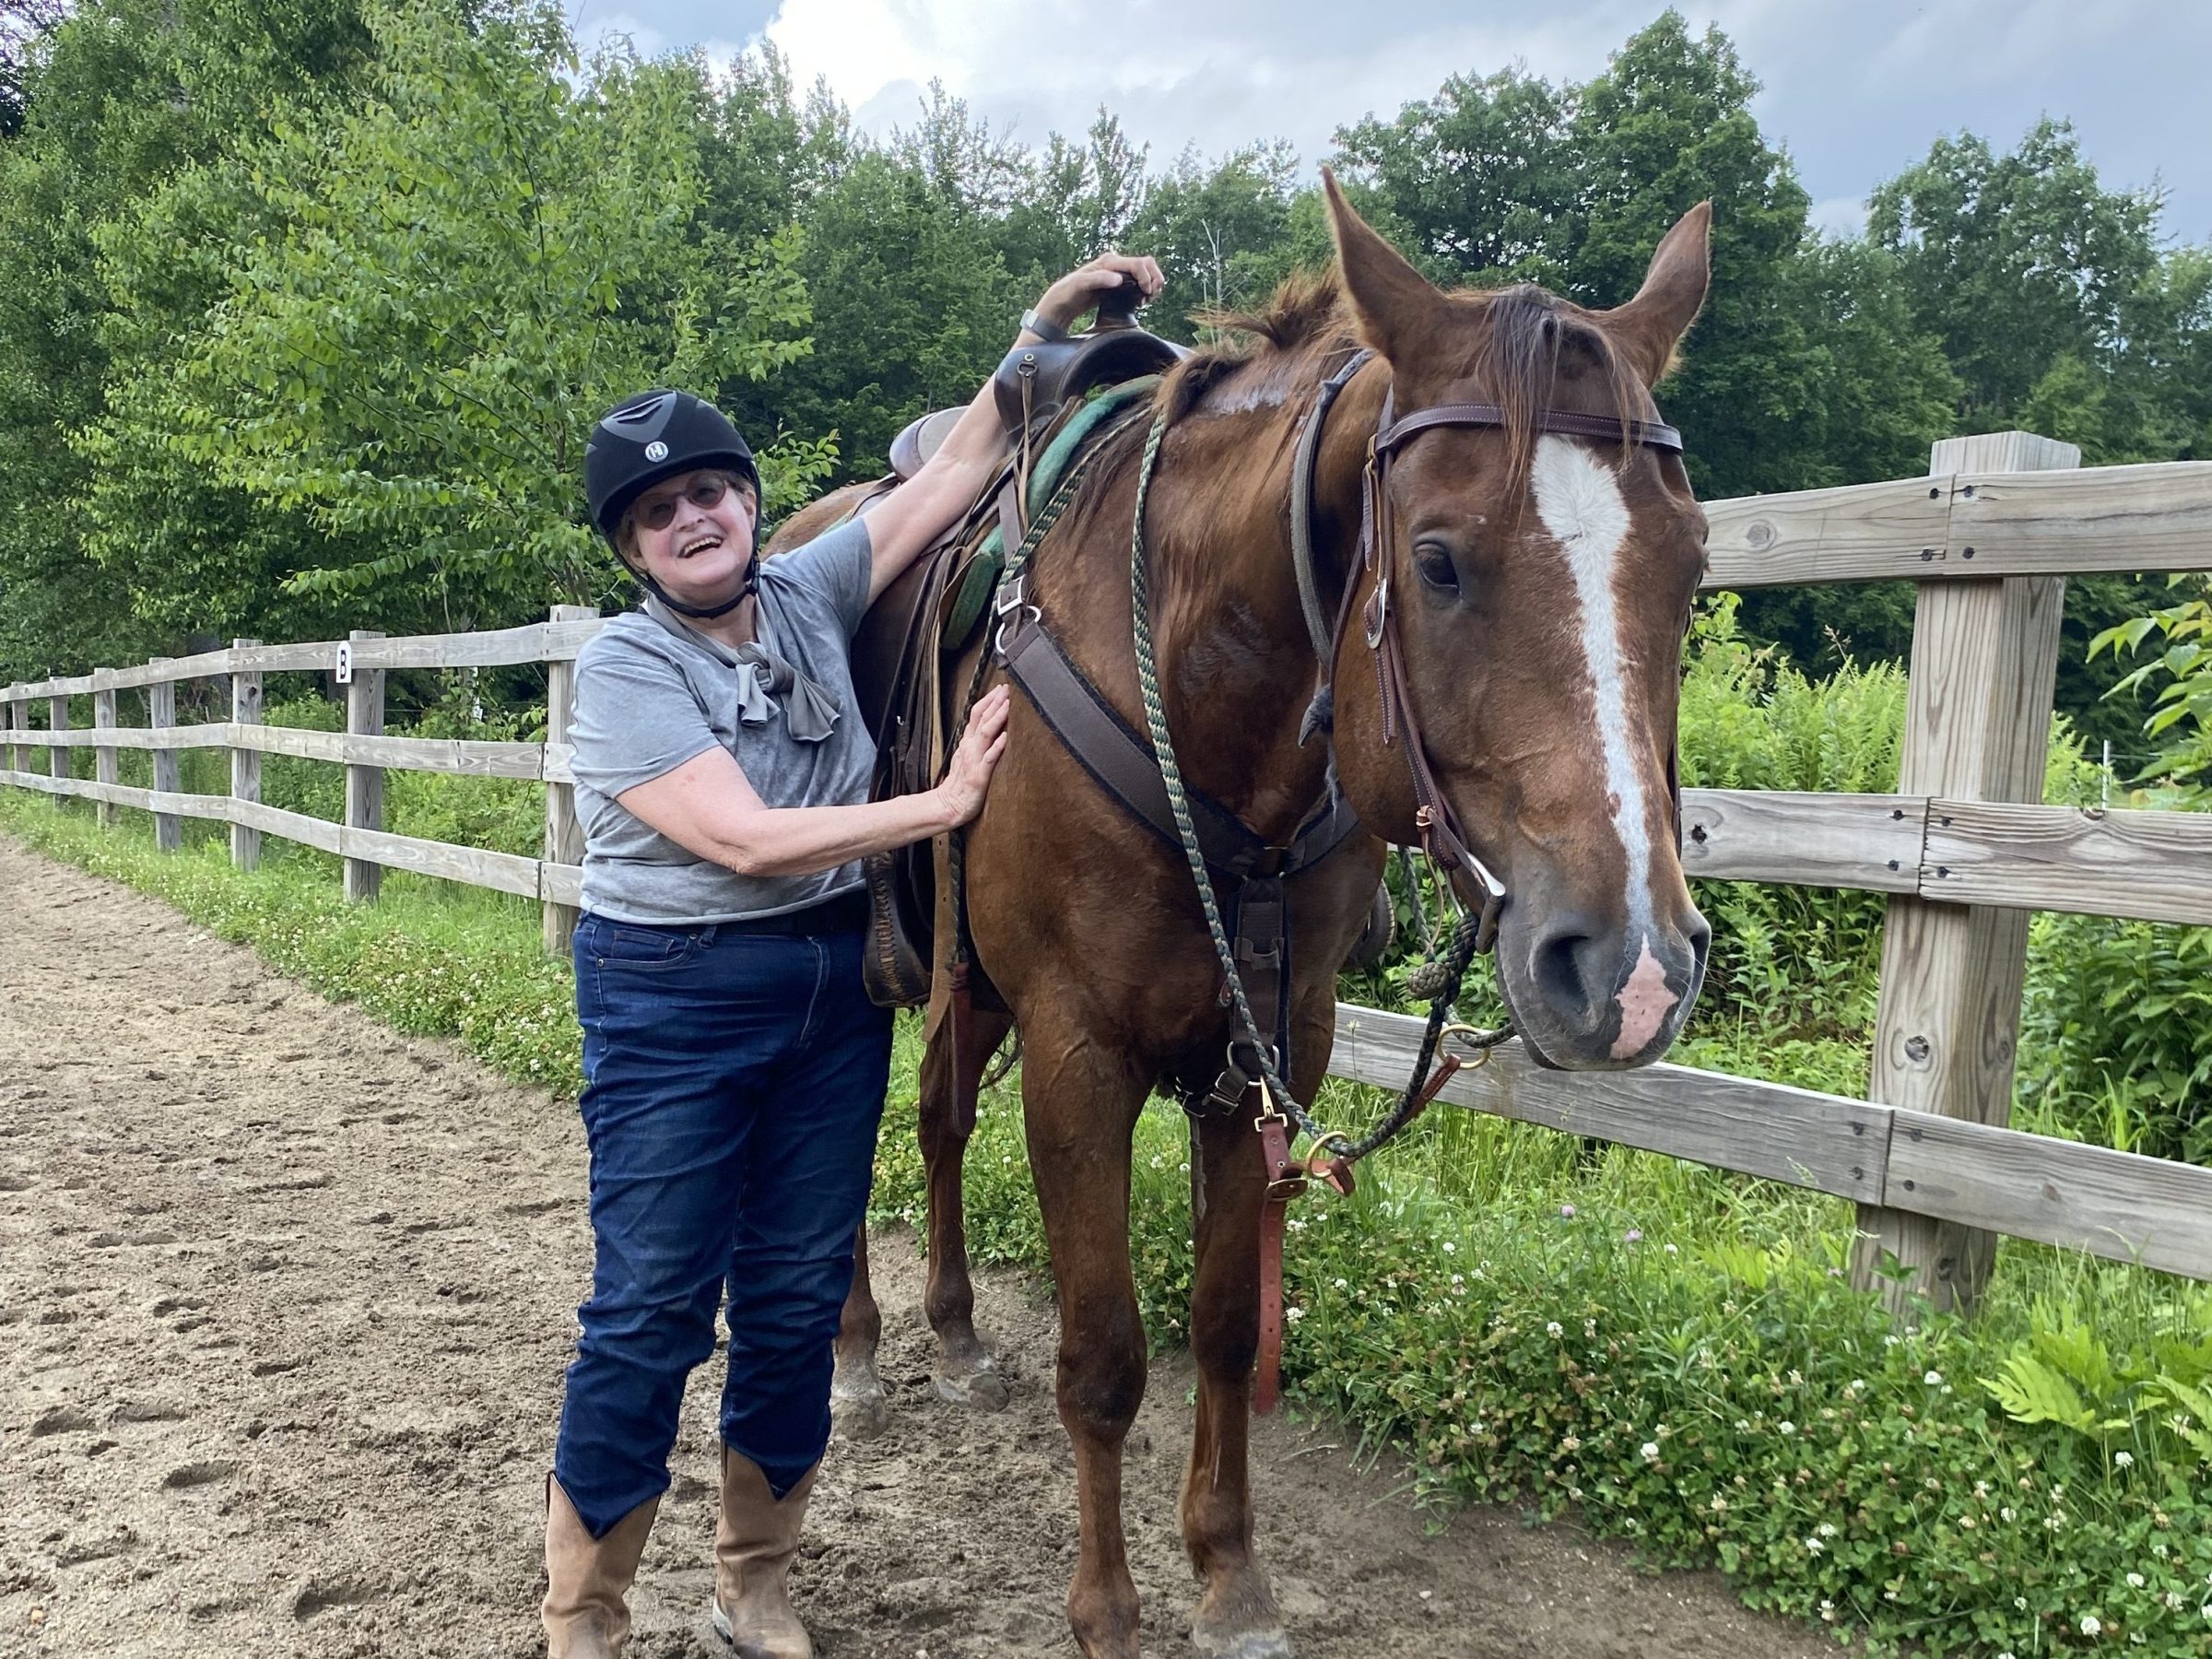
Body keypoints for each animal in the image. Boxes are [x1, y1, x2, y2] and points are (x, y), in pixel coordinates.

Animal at [768, 174, 1713, 1659]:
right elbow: (1105, 1352)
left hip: (975, 984)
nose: (1630, 972)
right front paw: (1107, 1611)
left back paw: (958, 1334)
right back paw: (856, 1348)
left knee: (935, 1118)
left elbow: (1221, 1323)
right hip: (889, 970)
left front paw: (1230, 1575)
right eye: (1437, 562)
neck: (1195, 690)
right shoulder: (1079, 1052)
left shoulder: (1269, 1047)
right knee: (852, 1139)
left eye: (1690, 565)